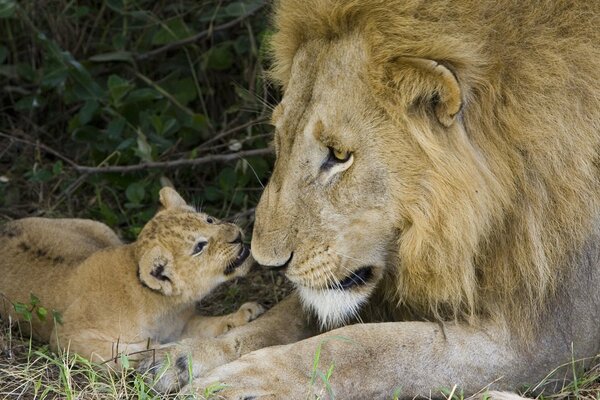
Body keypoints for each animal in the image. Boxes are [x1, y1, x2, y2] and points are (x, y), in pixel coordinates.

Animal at [143, 0, 600, 396]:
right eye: (279, 136)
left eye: (339, 155)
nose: (267, 263)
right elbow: (282, 318)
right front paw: (177, 359)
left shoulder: (548, 339)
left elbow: (363, 347)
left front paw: (243, 383)